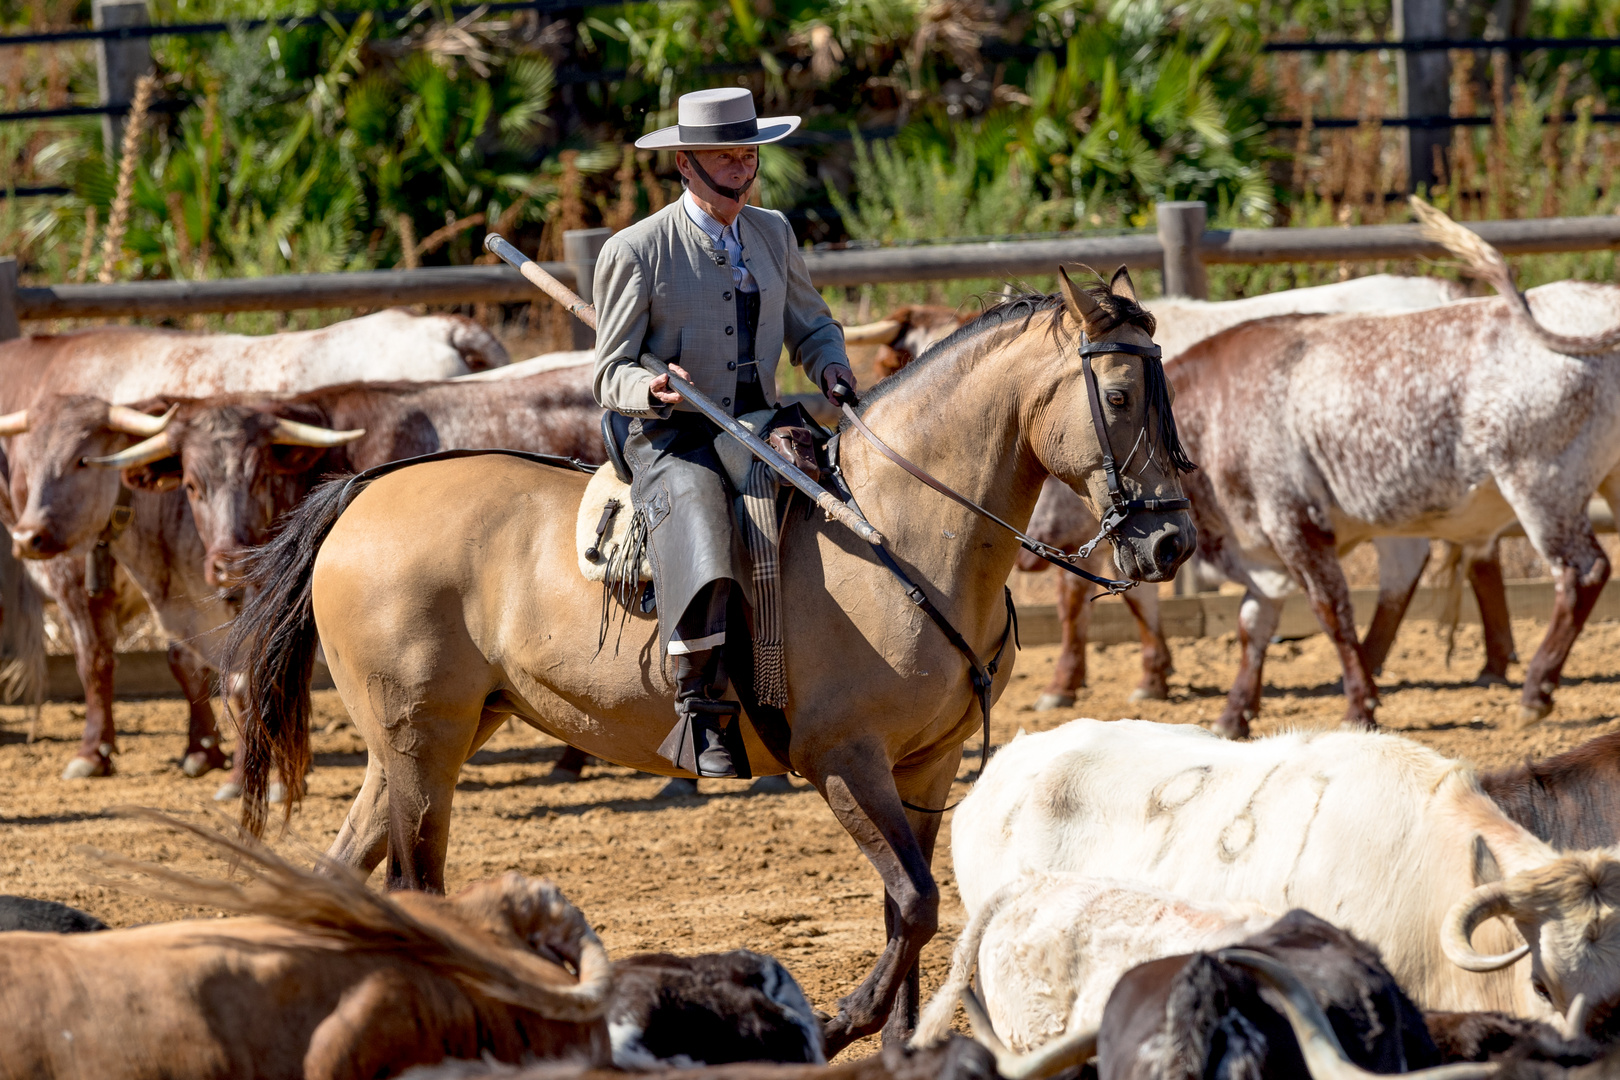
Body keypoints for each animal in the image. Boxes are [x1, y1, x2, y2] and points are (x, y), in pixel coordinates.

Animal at [225, 265, 1192, 1049]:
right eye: (1116, 397)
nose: (1172, 541)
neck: (892, 532)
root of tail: (364, 493)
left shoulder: (926, 765)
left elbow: (908, 906)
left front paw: (898, 1041)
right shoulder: (842, 761)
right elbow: (916, 904)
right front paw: (839, 1024)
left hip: (416, 745)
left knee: (346, 875)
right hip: (424, 741)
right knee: (414, 888)